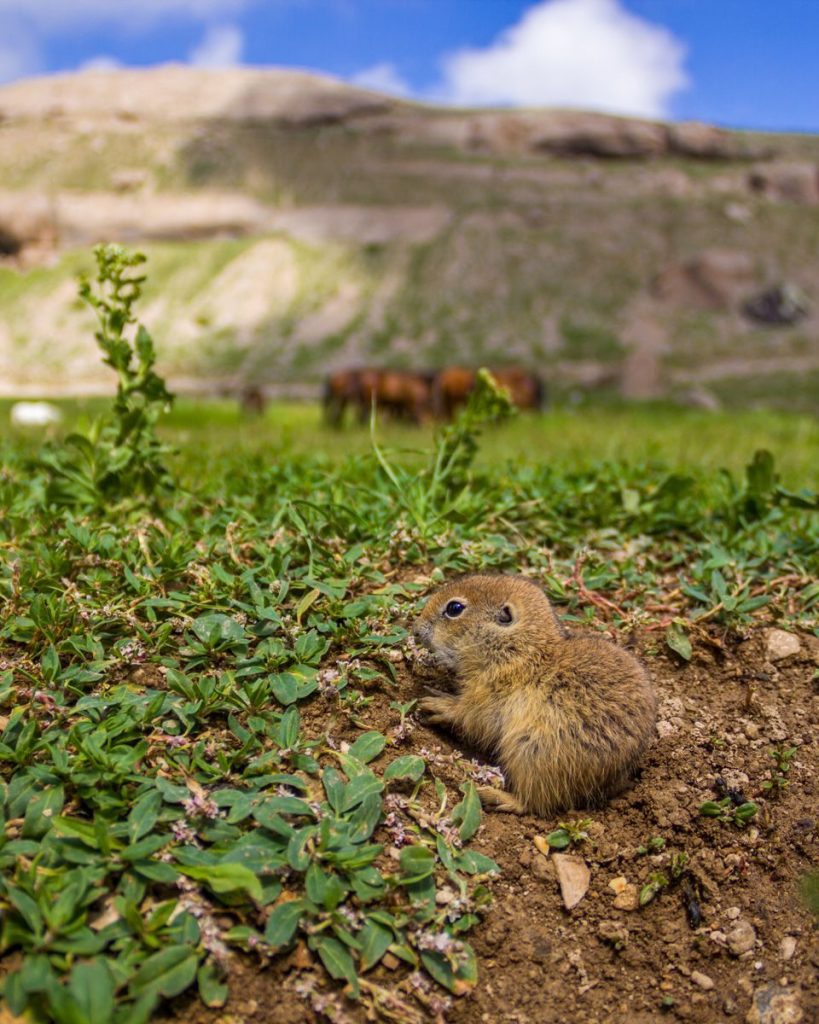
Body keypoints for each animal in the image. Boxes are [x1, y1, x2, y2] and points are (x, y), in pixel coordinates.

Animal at [412, 574, 657, 816]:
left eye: (454, 608)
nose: (416, 629)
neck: (519, 649)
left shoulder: (489, 697)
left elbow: (469, 716)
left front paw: (437, 703)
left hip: (532, 752)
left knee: (532, 803)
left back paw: (494, 796)